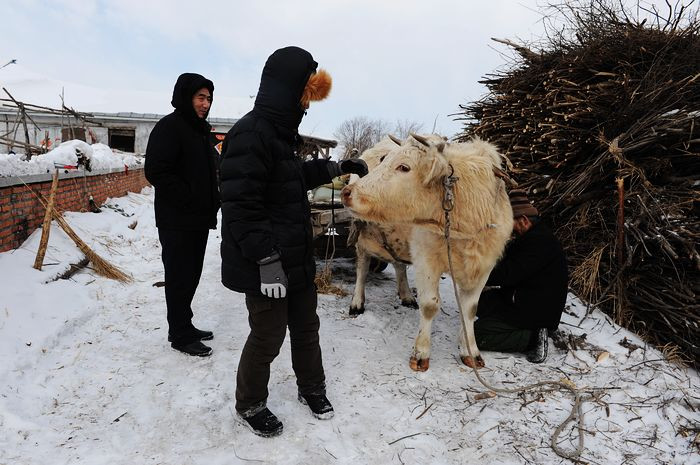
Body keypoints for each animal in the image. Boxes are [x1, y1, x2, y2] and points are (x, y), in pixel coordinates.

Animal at [342, 133, 512, 370]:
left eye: (404, 167)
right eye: (385, 160)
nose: (346, 193)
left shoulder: (484, 267)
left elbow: (470, 310)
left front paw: (470, 351)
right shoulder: (426, 260)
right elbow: (430, 305)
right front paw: (421, 353)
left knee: (399, 265)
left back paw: (406, 295)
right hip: (361, 236)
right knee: (362, 268)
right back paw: (357, 302)